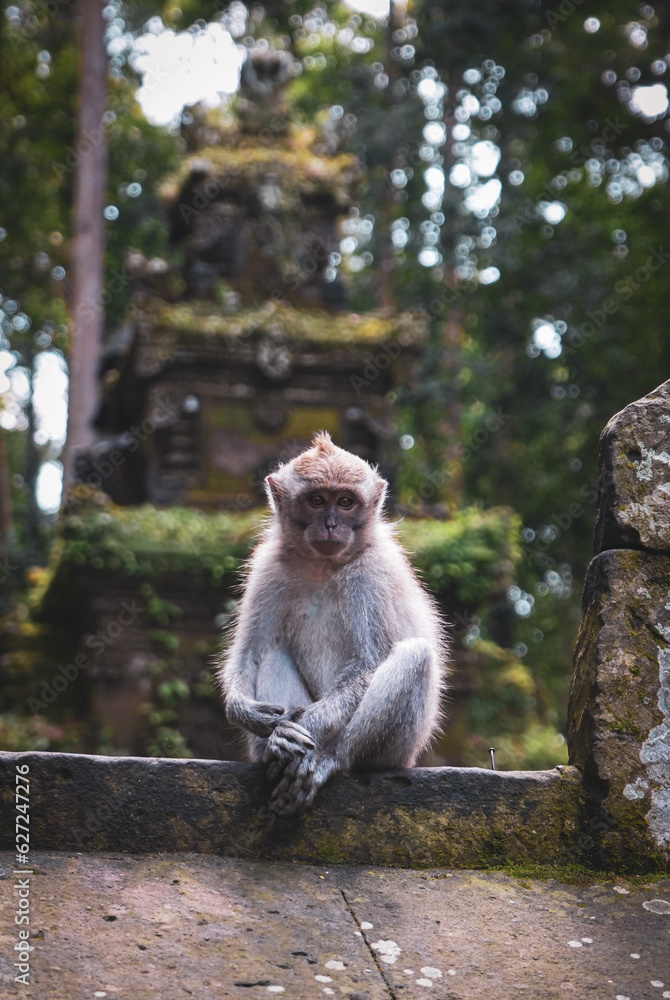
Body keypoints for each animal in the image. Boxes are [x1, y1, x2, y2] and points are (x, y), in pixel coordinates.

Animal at [220, 431, 447, 817]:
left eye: (344, 502)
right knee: (271, 654)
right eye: (316, 500)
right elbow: (249, 655)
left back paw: (328, 758)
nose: (330, 524)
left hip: (401, 749)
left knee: (414, 655)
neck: (322, 564)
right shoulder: (268, 570)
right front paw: (256, 718)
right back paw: (272, 750)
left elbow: (367, 665)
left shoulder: (371, 574)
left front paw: (299, 729)